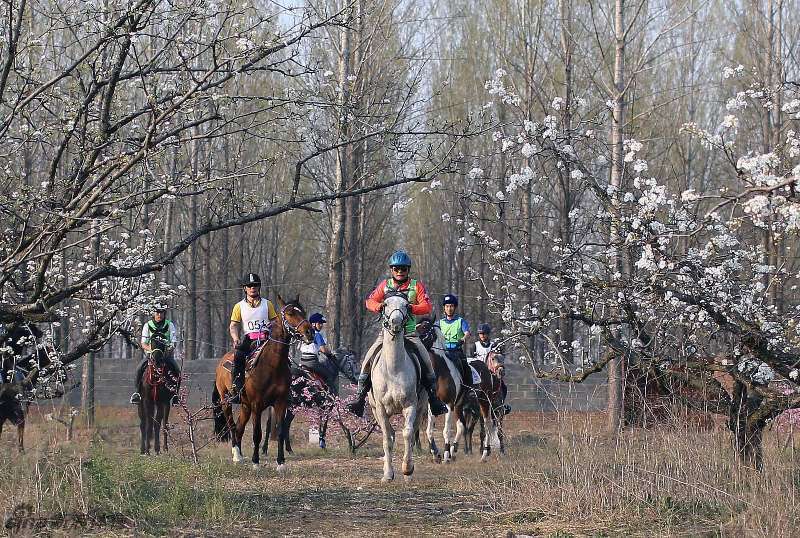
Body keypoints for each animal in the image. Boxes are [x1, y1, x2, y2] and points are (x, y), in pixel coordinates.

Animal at [212, 294, 312, 468]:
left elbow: (280, 431)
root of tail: (221, 362)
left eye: (303, 311)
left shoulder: (280, 402)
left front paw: (280, 463)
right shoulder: (257, 405)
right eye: (290, 313)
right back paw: (236, 455)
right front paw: (256, 462)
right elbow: (257, 434)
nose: (309, 331)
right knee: (232, 426)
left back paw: (241, 455)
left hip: (245, 406)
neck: (272, 366)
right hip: (226, 401)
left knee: (239, 428)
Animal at [370, 292, 428, 480]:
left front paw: (407, 469)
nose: (395, 322)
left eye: (406, 305)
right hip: (375, 410)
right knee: (390, 434)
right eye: (385, 304)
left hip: (421, 407)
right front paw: (388, 474)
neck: (393, 369)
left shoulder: (410, 405)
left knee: (412, 431)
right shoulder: (380, 408)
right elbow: (387, 439)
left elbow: (408, 433)